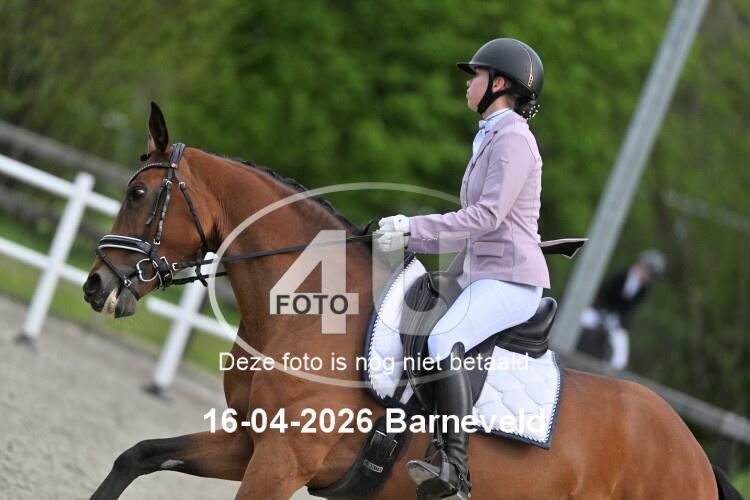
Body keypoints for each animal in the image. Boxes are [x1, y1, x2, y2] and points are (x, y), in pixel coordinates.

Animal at [82, 102, 730, 499]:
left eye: (138, 194)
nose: (96, 286)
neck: (314, 310)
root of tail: (695, 453)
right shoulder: (249, 445)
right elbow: (137, 456)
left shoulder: (281, 460)